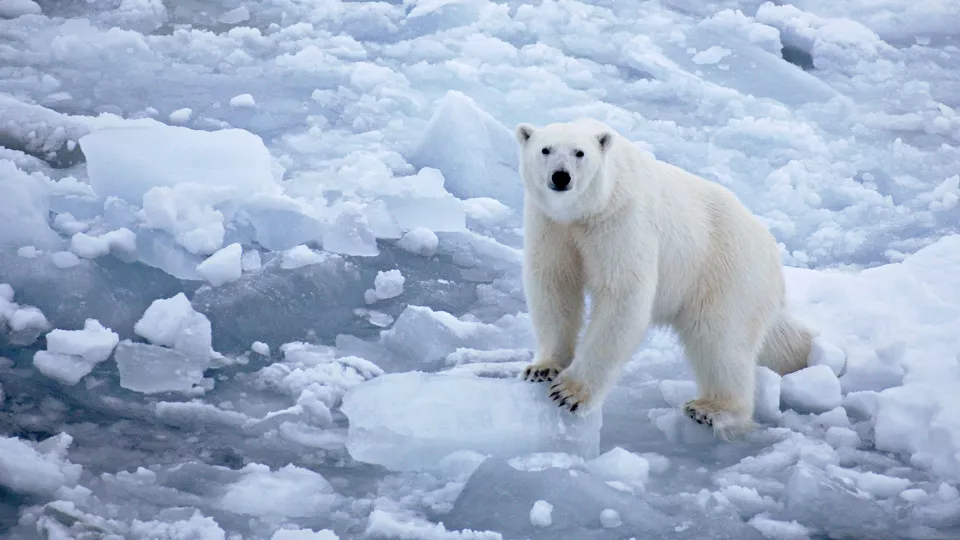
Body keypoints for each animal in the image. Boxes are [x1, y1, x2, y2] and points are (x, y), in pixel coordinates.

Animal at [512, 118, 812, 438]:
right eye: (545, 149)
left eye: (580, 153)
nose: (560, 176)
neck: (588, 210)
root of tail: (773, 257)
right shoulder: (551, 223)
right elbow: (553, 283)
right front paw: (542, 368)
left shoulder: (621, 220)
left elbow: (623, 294)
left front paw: (569, 392)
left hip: (726, 272)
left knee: (719, 341)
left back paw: (711, 409)